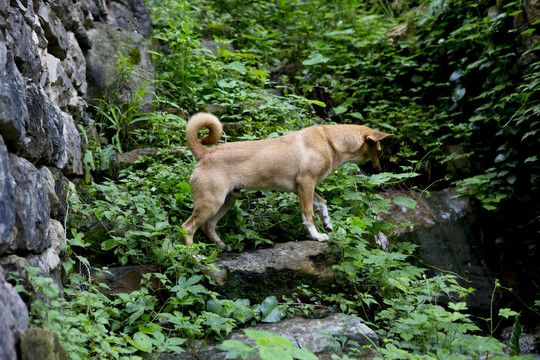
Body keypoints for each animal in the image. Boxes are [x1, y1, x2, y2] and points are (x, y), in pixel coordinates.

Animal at [180, 112, 392, 250]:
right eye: (379, 151)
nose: (380, 171)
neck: (329, 141)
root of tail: (204, 153)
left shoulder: (304, 187)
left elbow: (322, 203)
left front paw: (327, 223)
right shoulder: (305, 184)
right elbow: (309, 214)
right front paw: (316, 236)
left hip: (226, 201)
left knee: (208, 226)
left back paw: (223, 247)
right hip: (211, 203)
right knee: (187, 228)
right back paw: (195, 256)